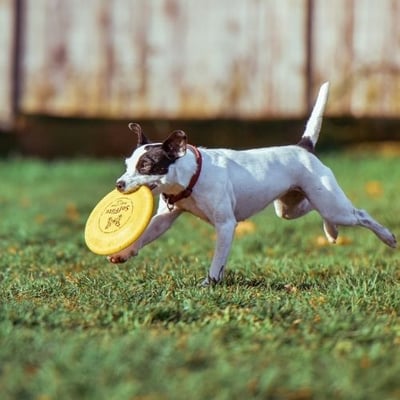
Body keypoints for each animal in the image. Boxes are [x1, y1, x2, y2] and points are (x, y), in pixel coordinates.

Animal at [108, 82, 396, 284]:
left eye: (145, 166)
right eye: (127, 164)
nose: (119, 184)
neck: (191, 176)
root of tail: (303, 147)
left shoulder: (226, 225)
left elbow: (218, 260)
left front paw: (210, 283)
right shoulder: (164, 218)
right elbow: (145, 234)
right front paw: (124, 252)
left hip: (334, 205)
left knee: (360, 214)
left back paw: (387, 236)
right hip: (291, 207)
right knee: (314, 209)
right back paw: (331, 232)